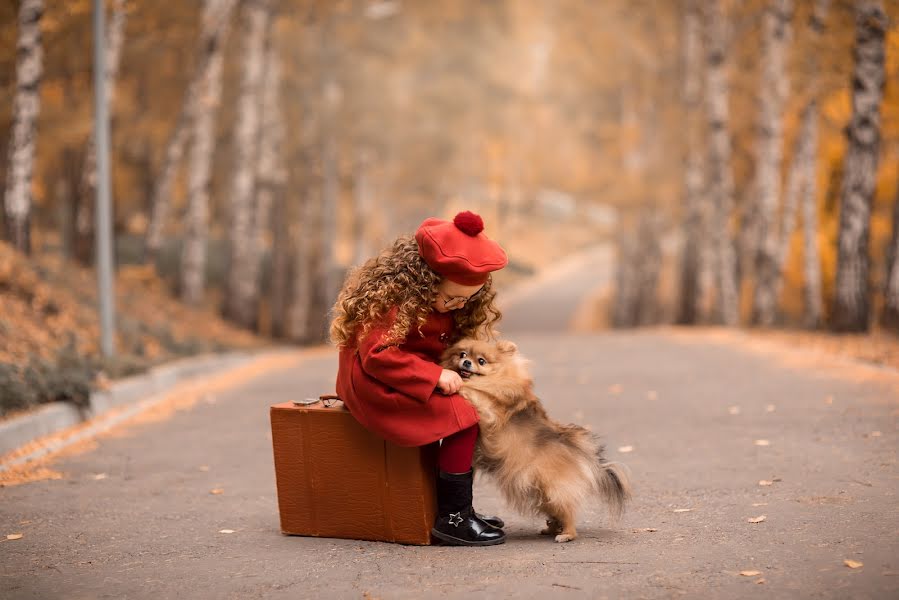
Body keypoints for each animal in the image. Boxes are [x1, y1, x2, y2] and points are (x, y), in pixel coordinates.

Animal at [440, 340, 628, 540]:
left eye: (481, 361)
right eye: (462, 354)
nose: (466, 362)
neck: (501, 375)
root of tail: (576, 449)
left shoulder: (490, 408)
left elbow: (475, 390)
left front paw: (457, 384)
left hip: (553, 488)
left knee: (567, 510)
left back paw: (566, 534)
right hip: (542, 492)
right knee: (556, 512)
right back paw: (551, 529)